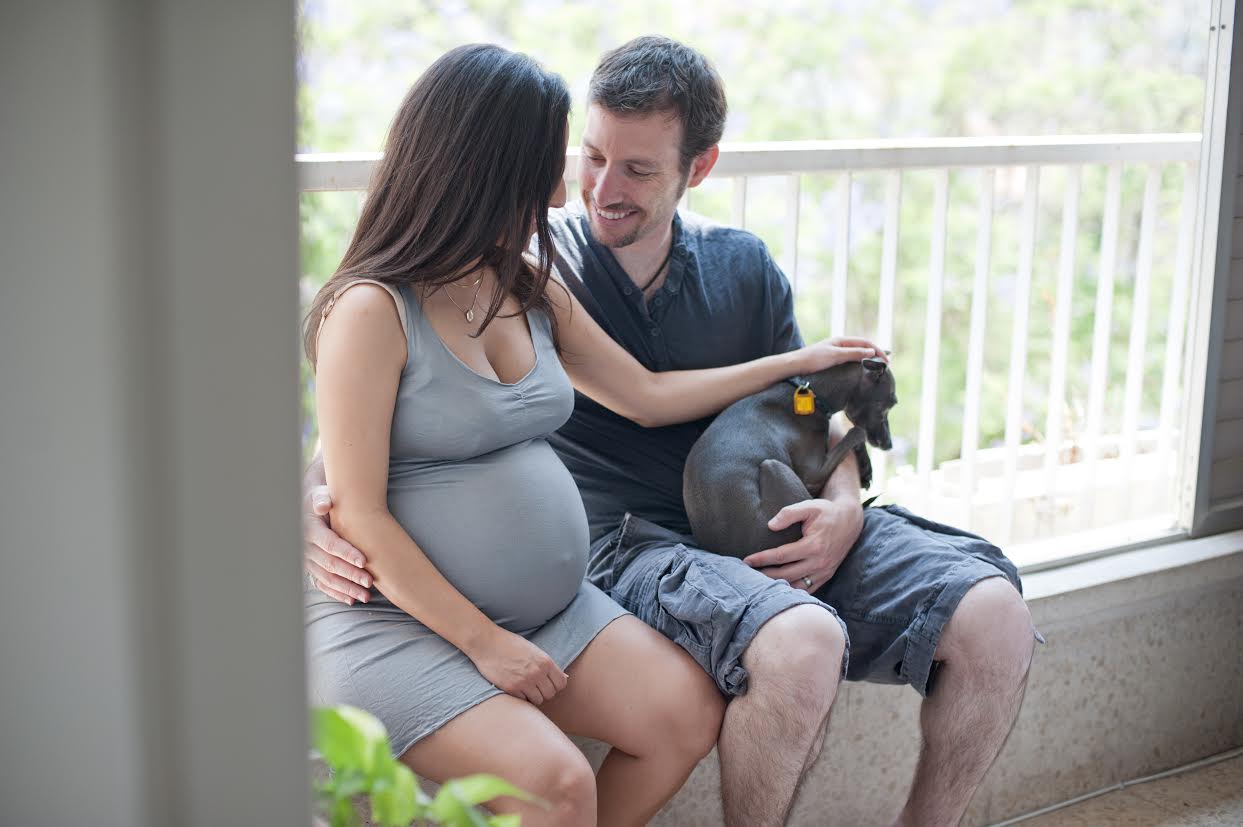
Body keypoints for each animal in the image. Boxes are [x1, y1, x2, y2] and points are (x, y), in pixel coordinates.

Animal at [686, 358, 899, 557]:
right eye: (889, 404)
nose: (889, 444)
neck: (815, 395)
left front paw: (866, 468)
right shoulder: (812, 475)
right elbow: (856, 432)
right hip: (773, 466)